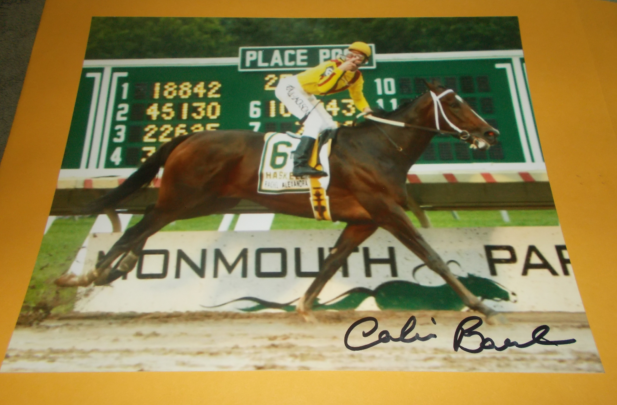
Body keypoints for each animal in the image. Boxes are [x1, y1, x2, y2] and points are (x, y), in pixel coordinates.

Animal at [55, 82, 500, 320]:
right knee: (137, 227)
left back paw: (112, 268)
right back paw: (89, 274)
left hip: (202, 201)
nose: (491, 132)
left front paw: (302, 305)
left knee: (146, 221)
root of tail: (191, 135)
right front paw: (479, 303)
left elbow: (331, 262)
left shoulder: (364, 220)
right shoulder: (386, 212)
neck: (380, 148)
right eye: (454, 103)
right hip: (185, 197)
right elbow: (433, 256)